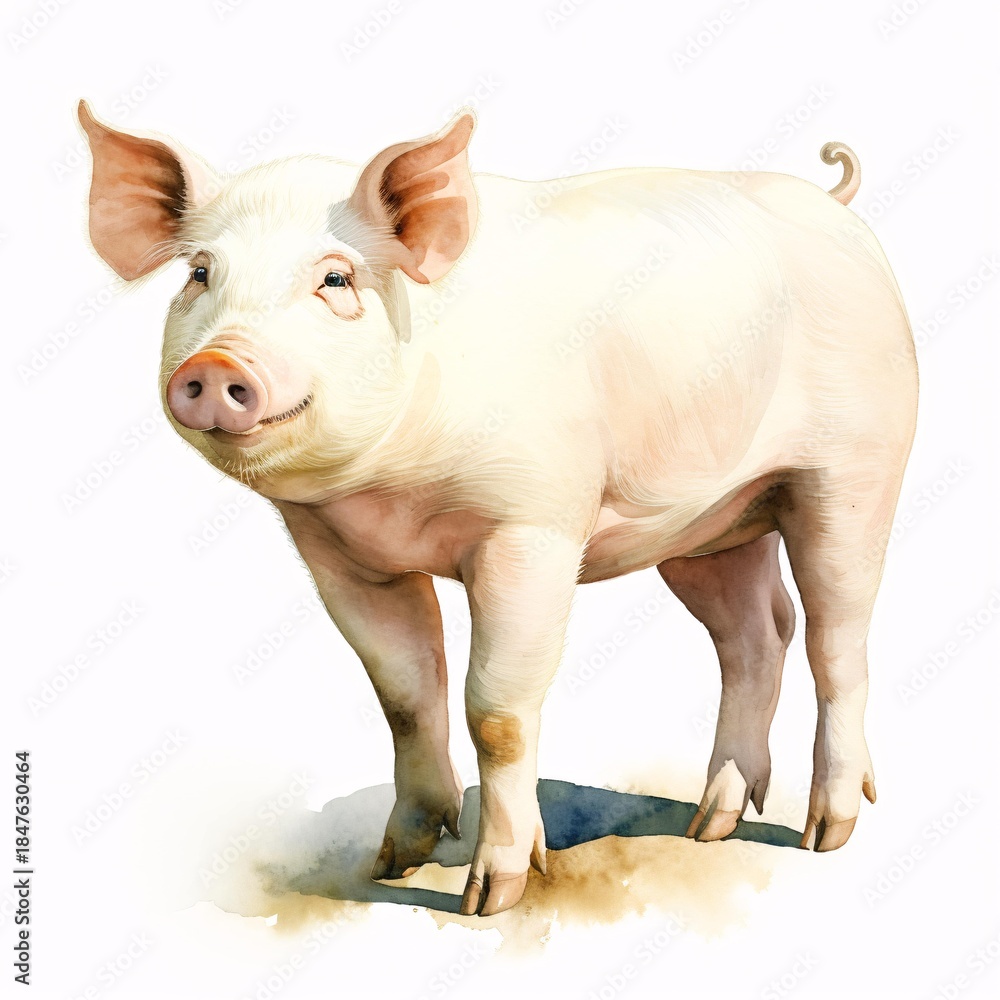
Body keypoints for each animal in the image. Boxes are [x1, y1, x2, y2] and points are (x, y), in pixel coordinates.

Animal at [78, 100, 917, 916]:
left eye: (336, 280)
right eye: (199, 273)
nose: (217, 364)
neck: (393, 493)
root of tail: (837, 207)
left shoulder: (534, 525)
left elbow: (498, 711)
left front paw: (492, 897)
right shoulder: (338, 552)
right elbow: (404, 694)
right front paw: (393, 863)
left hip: (857, 467)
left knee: (837, 639)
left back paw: (825, 833)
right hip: (708, 524)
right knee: (756, 634)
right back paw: (709, 824)